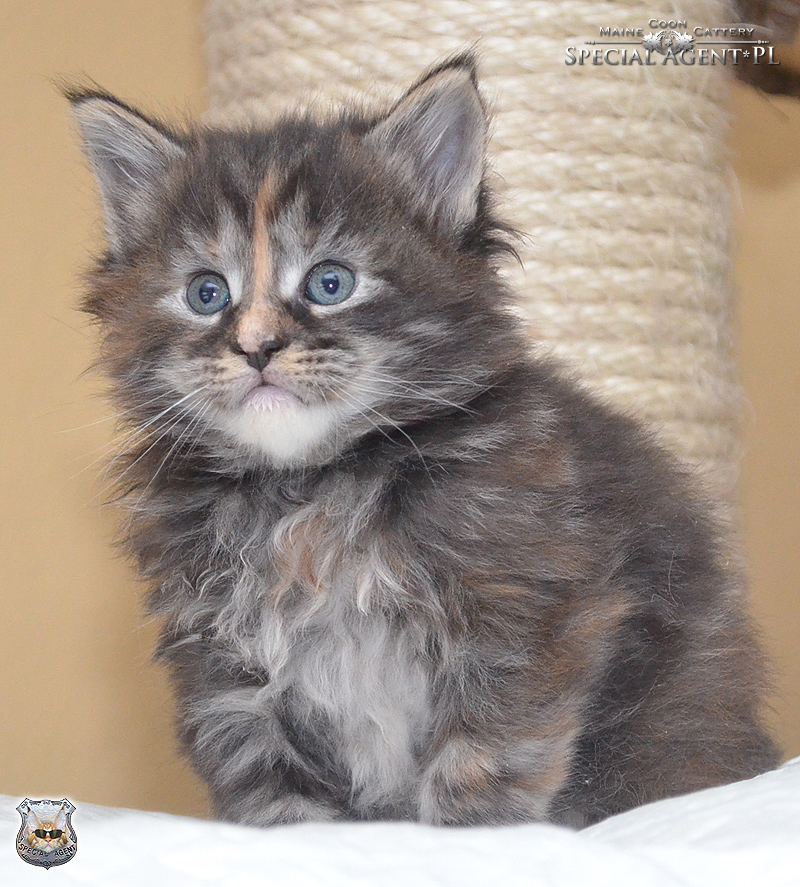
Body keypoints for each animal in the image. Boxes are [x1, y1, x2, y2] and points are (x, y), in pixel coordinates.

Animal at [69, 53, 780, 827]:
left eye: (330, 283)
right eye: (206, 294)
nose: (256, 346)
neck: (310, 487)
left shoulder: (520, 605)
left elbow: (485, 751)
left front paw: (467, 833)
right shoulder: (226, 663)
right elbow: (269, 783)